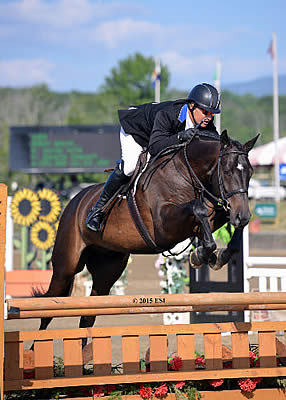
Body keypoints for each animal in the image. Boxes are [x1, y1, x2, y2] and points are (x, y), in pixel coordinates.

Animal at [36, 130, 260, 332]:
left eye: (250, 172)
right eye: (228, 171)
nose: (242, 215)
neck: (186, 173)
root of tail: (74, 200)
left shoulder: (208, 218)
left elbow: (220, 224)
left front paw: (216, 255)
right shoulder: (164, 227)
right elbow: (198, 209)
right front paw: (201, 254)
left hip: (107, 268)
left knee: (88, 315)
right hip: (65, 267)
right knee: (48, 307)